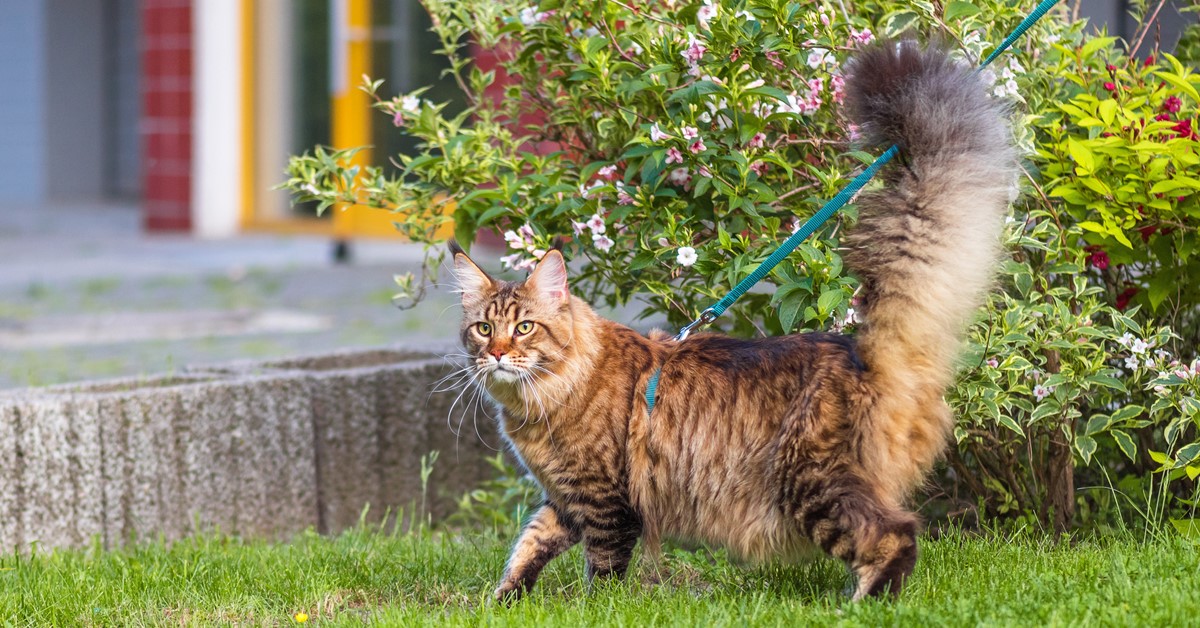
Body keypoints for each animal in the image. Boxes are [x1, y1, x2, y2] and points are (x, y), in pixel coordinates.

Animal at [448, 41, 1012, 602]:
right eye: (484, 329)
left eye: (524, 328)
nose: (497, 353)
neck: (540, 400)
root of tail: (861, 350)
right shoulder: (563, 499)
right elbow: (528, 547)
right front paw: (503, 601)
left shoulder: (606, 499)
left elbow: (602, 569)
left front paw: (595, 607)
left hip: (812, 483)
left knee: (897, 535)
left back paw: (859, 606)